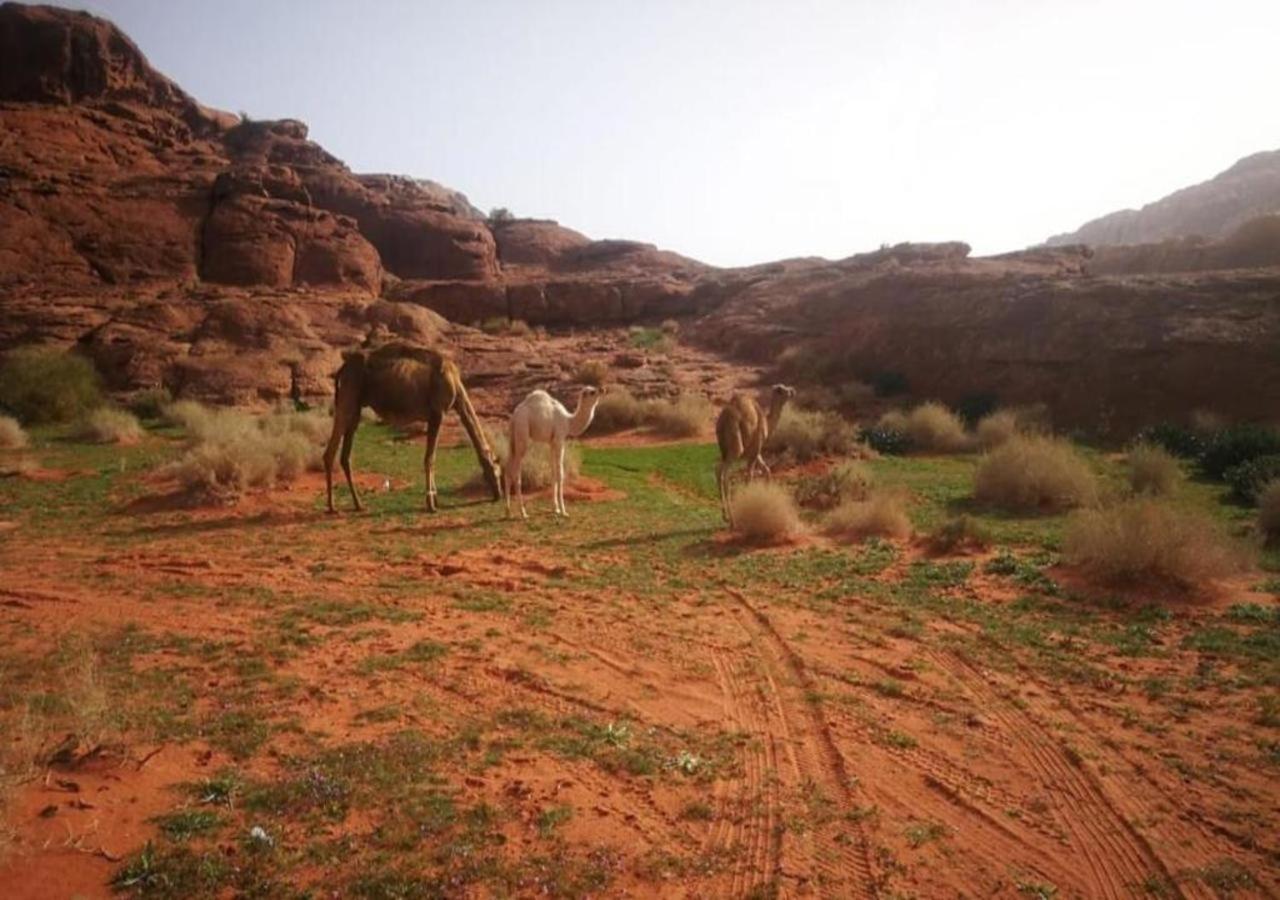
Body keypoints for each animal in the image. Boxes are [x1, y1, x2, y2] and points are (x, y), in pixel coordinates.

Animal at [322, 343, 501, 514]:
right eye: (497, 470)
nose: (498, 494)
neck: (455, 385)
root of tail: (343, 369)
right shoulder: (438, 413)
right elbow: (430, 458)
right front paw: (431, 505)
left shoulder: (432, 416)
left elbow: (430, 457)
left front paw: (435, 500)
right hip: (348, 398)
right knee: (330, 451)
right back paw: (332, 507)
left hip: (357, 408)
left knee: (345, 456)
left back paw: (358, 505)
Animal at [504, 384, 599, 517]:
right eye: (591, 392)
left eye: (594, 389)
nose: (602, 389)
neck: (569, 421)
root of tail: (514, 416)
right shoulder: (559, 439)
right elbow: (560, 473)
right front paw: (564, 511)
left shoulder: (551, 443)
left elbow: (553, 473)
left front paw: (556, 508)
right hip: (522, 433)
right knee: (516, 472)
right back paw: (523, 513)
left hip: (512, 439)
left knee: (507, 470)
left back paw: (507, 511)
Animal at [716, 384, 793, 524]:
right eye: (782, 390)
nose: (793, 391)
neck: (766, 422)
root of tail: (723, 420)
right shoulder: (755, 448)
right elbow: (750, 476)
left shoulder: (756, 452)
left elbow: (767, 470)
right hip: (736, 446)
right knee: (725, 474)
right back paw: (732, 519)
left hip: (724, 449)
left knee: (717, 469)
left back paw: (725, 516)